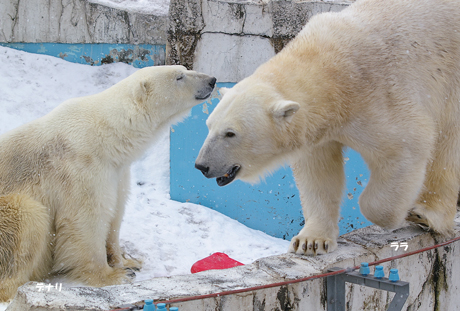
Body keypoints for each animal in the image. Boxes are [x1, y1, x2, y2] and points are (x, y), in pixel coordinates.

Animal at [0, 66, 217, 302]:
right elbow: (86, 221)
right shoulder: (82, 168)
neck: (106, 135)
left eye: (184, 70)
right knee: (28, 215)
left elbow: (115, 213)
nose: (212, 80)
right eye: (179, 76)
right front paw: (114, 276)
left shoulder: (117, 172)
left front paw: (128, 261)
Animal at [196, 0, 460, 258]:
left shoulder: (380, 94)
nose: (201, 165)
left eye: (230, 133)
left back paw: (426, 214)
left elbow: (408, 144)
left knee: (447, 145)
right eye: (209, 125)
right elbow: (318, 173)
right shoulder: (318, 129)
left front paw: (395, 215)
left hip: (450, 83)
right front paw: (311, 241)